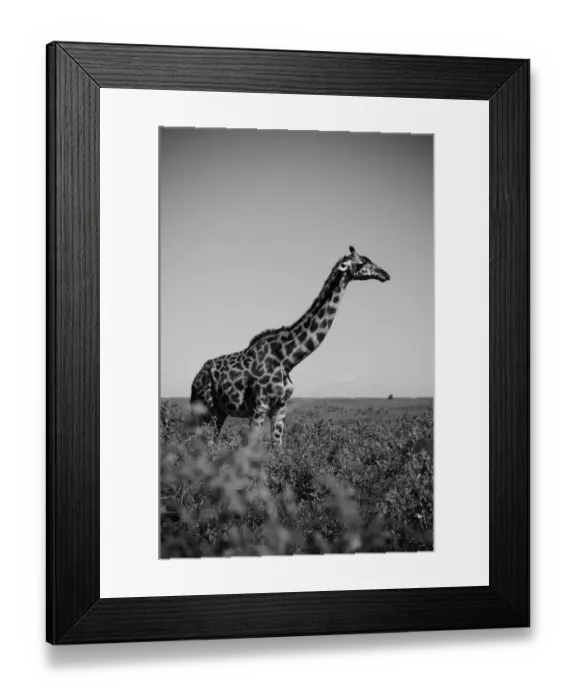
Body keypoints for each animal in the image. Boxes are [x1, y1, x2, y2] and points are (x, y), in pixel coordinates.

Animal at [190, 246, 390, 447]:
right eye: (362, 262)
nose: (385, 274)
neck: (287, 359)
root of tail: (195, 378)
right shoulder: (260, 406)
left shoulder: (280, 406)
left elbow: (277, 447)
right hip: (205, 407)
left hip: (219, 410)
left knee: (210, 442)